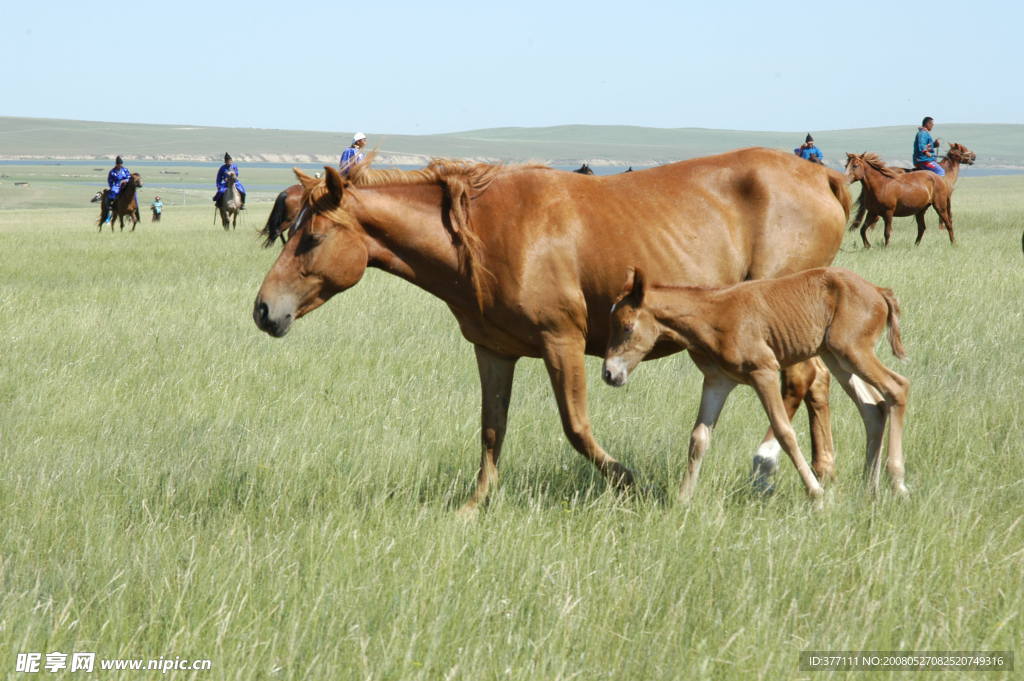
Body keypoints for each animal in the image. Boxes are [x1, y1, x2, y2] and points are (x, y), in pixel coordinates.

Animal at [253, 148, 847, 509]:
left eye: (312, 237)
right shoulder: (493, 351)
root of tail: (822, 175)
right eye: (290, 227)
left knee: (800, 383)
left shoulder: (562, 342)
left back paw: (773, 468)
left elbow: (577, 428)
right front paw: (474, 507)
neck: (486, 234)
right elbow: (491, 431)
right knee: (814, 384)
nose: (263, 309)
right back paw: (817, 471)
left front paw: (629, 483)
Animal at [602, 268, 909, 501]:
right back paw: (870, 488)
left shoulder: (765, 371)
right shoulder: (717, 381)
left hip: (853, 352)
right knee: (873, 407)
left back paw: (897, 482)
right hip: (837, 357)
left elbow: (784, 432)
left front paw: (816, 495)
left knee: (897, 387)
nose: (609, 373)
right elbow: (699, 438)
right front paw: (683, 500)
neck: (711, 315)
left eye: (627, 326)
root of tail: (878, 291)